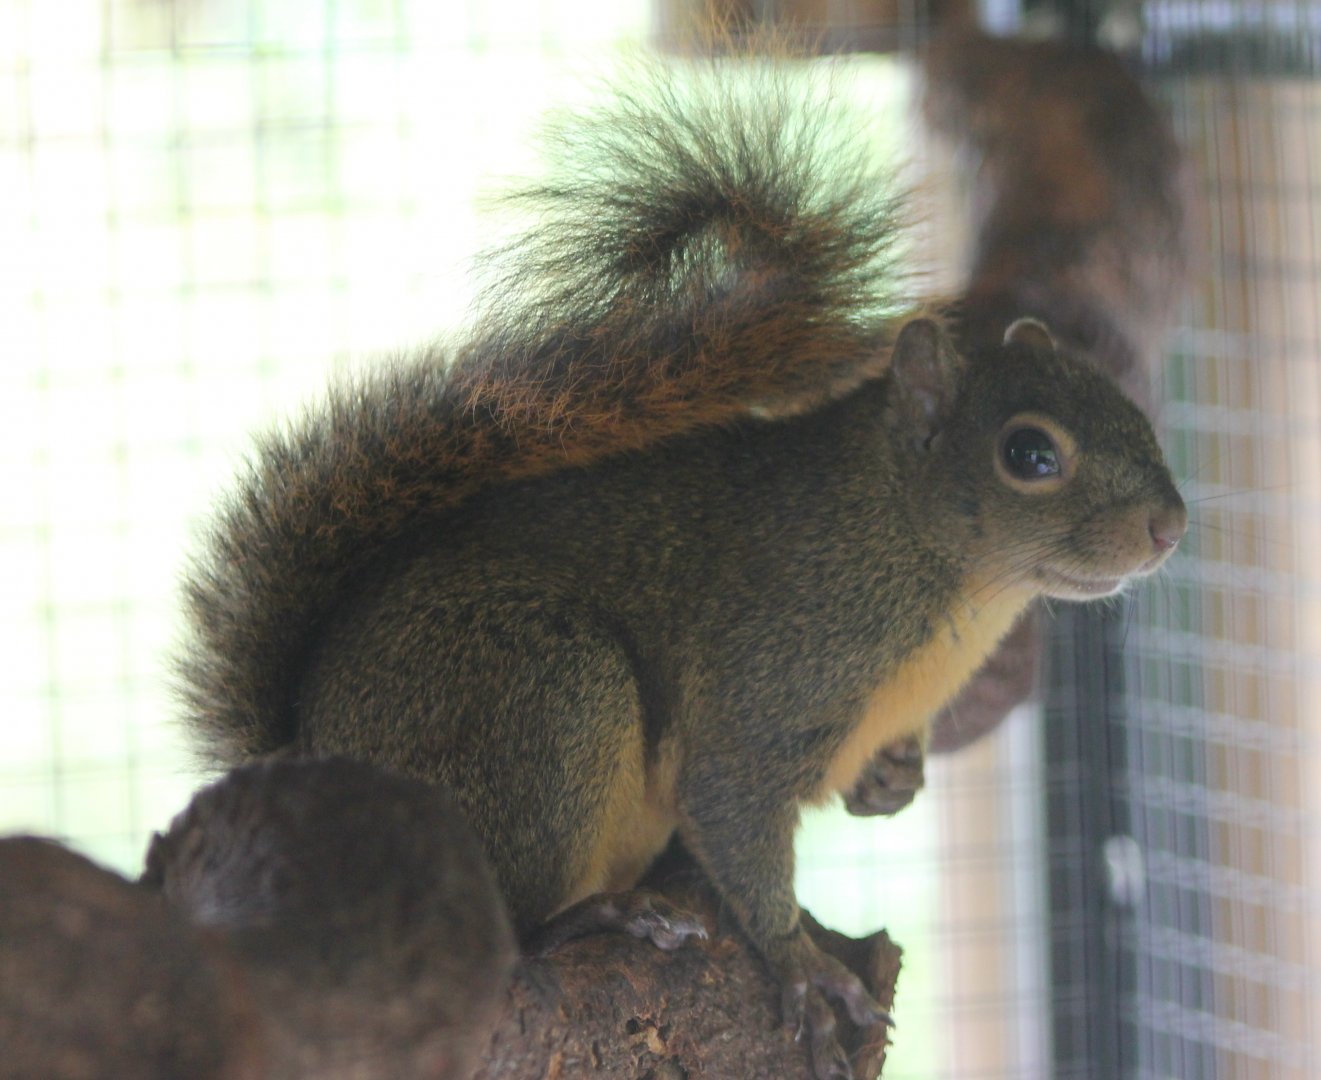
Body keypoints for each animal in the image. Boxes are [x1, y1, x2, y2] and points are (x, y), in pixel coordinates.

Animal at [176, 53, 1187, 1080]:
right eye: (1028, 454)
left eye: (1131, 410)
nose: (1170, 527)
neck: (929, 569)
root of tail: (310, 744)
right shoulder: (772, 676)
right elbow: (732, 808)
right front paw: (802, 966)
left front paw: (891, 782)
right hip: (542, 690)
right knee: (512, 922)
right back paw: (597, 918)